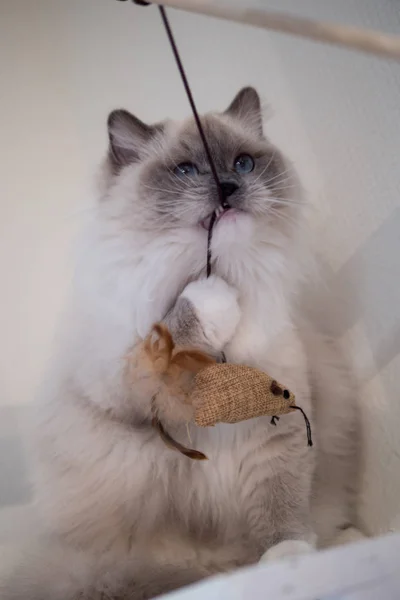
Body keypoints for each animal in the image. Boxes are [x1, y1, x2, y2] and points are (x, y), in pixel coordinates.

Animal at [0, 88, 360, 600]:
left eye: (244, 163)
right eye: (187, 171)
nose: (228, 187)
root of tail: (214, 566)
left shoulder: (275, 429)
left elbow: (281, 509)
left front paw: (289, 562)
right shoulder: (126, 396)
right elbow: (173, 331)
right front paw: (213, 301)